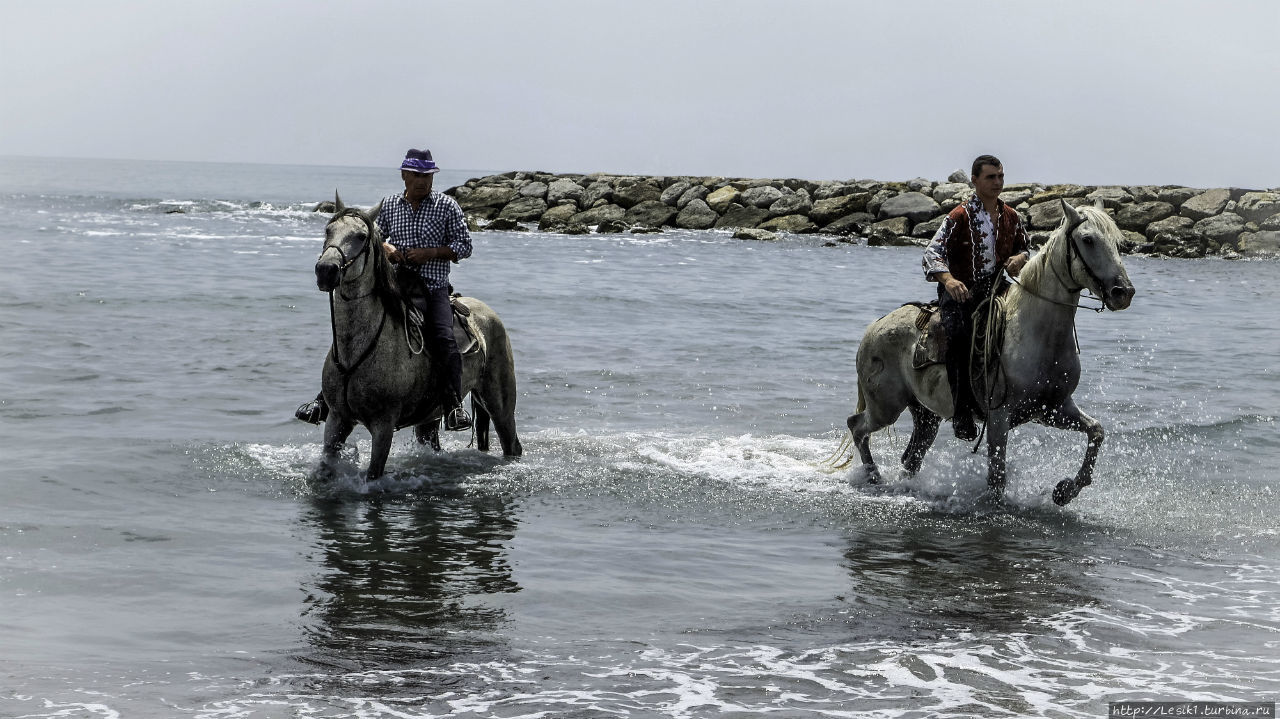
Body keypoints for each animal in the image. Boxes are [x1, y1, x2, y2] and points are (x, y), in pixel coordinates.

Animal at [311, 193, 519, 478]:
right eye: (328, 230)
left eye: (361, 236)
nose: (326, 270)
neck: (357, 348)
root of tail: (488, 314)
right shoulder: (336, 419)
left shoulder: (383, 425)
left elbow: (374, 474)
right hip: (430, 418)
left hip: (500, 404)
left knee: (512, 444)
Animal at [844, 199, 1136, 504]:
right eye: (1088, 239)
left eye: (1118, 243)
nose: (1123, 292)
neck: (1036, 335)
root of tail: (874, 327)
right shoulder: (999, 418)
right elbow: (997, 478)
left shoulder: (1053, 409)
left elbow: (1097, 431)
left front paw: (1064, 490)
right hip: (885, 407)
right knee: (857, 427)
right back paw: (873, 476)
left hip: (925, 416)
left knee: (910, 457)